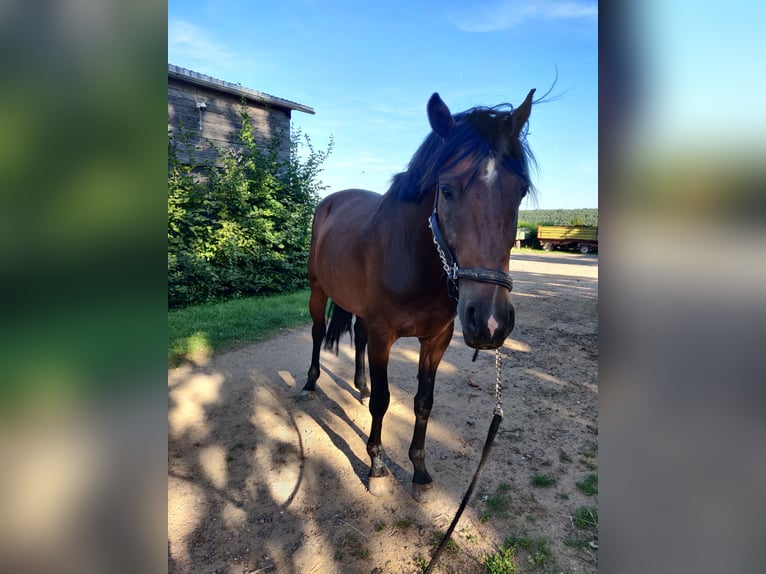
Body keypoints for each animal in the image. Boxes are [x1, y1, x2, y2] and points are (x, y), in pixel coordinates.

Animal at [304, 88, 536, 502]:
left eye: (520, 191)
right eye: (446, 190)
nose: (490, 322)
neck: (412, 259)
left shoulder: (436, 339)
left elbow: (424, 403)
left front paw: (420, 472)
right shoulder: (384, 335)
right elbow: (384, 400)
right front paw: (377, 467)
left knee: (357, 338)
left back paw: (359, 385)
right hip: (318, 290)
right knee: (317, 333)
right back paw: (311, 383)